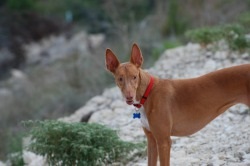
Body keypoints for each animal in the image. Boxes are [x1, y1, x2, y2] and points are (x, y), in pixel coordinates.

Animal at [105, 43, 250, 165]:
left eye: (134, 77)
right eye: (120, 79)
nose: (129, 97)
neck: (148, 93)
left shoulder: (164, 141)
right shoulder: (152, 141)